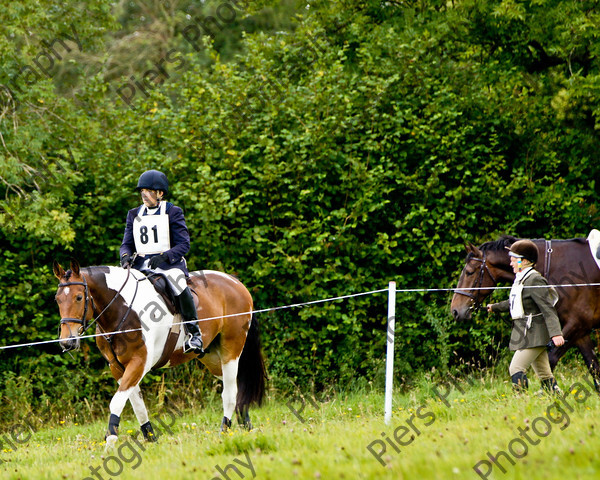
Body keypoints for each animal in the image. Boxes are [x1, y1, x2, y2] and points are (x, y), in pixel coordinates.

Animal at [53, 258, 264, 446]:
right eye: (57, 299)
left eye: (79, 297)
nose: (67, 342)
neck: (121, 310)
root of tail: (234, 281)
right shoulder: (118, 367)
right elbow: (137, 405)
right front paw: (150, 438)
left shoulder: (139, 363)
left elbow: (117, 402)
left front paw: (110, 441)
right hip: (211, 357)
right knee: (237, 382)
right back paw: (246, 424)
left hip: (231, 347)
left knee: (230, 390)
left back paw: (225, 431)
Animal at [452, 235, 600, 390]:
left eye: (469, 272)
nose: (455, 310)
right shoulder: (581, 332)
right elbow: (594, 367)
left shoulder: (576, 324)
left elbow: (550, 361)